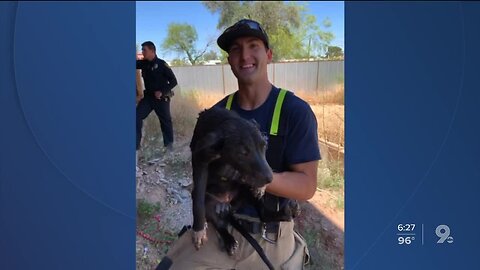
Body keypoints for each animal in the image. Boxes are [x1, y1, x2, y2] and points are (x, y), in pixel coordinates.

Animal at [191, 106, 274, 254]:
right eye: (243, 153)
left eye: (264, 146)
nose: (270, 179)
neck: (224, 119)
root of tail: (226, 204)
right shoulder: (200, 160)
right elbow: (198, 200)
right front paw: (199, 230)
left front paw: (260, 187)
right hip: (209, 202)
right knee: (219, 223)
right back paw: (229, 240)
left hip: (244, 193)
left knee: (261, 211)